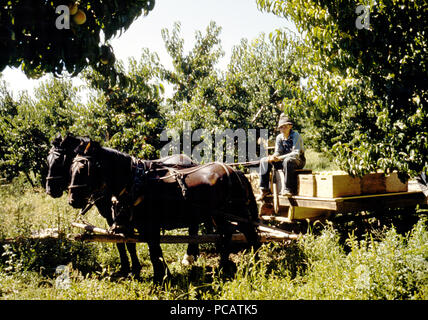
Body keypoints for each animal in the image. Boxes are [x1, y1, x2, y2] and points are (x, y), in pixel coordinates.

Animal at [45, 134, 197, 276]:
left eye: (59, 161)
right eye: (48, 160)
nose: (50, 190)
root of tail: (188, 159)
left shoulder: (123, 218)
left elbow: (128, 242)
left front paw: (133, 269)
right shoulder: (114, 218)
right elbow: (121, 241)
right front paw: (127, 268)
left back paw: (188, 257)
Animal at [68, 141, 260, 284]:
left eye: (84, 169)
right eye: (71, 168)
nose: (72, 200)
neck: (136, 182)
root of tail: (236, 172)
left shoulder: (150, 226)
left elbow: (154, 252)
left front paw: (161, 277)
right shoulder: (139, 226)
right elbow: (149, 250)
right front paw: (159, 275)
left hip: (238, 212)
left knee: (251, 235)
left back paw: (255, 265)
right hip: (216, 216)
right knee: (226, 235)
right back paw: (222, 267)